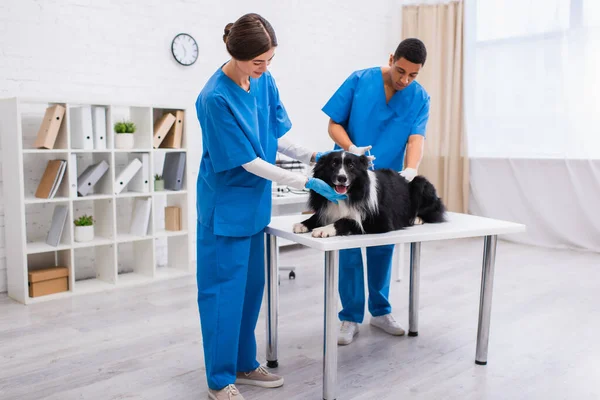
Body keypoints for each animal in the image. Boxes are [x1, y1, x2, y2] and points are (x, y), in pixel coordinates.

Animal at [292, 152, 448, 236]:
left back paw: (417, 218)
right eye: (333, 164)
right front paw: (303, 224)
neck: (350, 193)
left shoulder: (381, 221)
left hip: (420, 183)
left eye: (351, 166)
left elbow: (347, 220)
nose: (342, 178)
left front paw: (325, 229)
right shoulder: (327, 209)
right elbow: (317, 216)